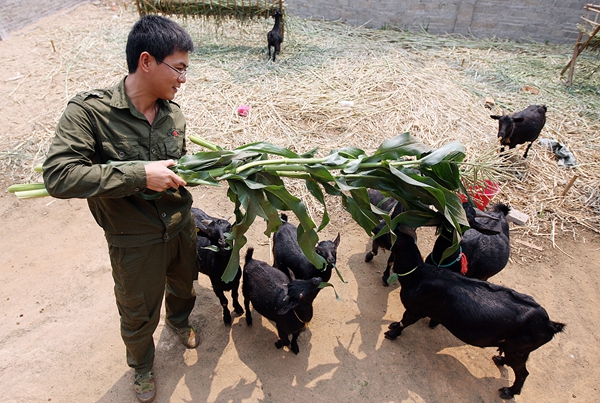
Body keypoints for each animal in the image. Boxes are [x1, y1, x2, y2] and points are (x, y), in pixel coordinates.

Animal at [382, 224, 564, 400]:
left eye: (388, 233)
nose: (376, 228)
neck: (419, 274)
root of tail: (550, 325)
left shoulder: (416, 309)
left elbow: (405, 321)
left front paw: (392, 333)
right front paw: (393, 325)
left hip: (518, 350)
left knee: (523, 373)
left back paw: (508, 392)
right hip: (517, 349)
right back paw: (500, 359)